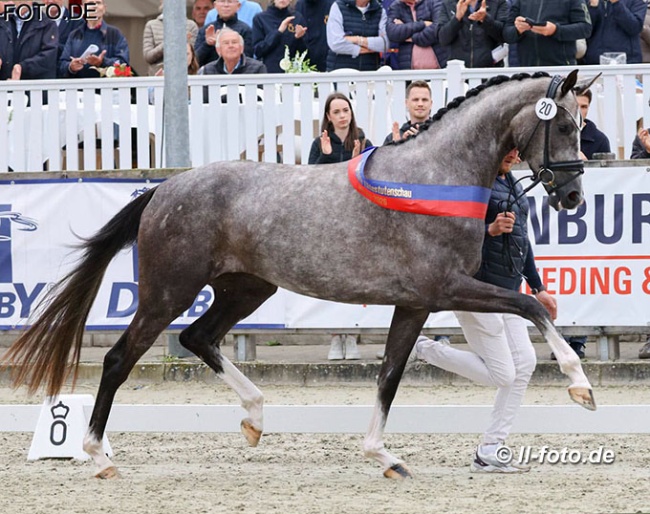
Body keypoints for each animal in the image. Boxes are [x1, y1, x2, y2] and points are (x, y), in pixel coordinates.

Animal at [2, 70, 596, 480]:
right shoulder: (448, 289)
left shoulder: (416, 301)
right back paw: (98, 455)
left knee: (199, 337)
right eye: (565, 124)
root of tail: (164, 188)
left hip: (248, 289)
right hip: (167, 292)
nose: (572, 197)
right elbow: (532, 306)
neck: (436, 178)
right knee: (121, 358)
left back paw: (256, 418)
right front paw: (579, 386)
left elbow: (389, 376)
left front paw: (384, 456)